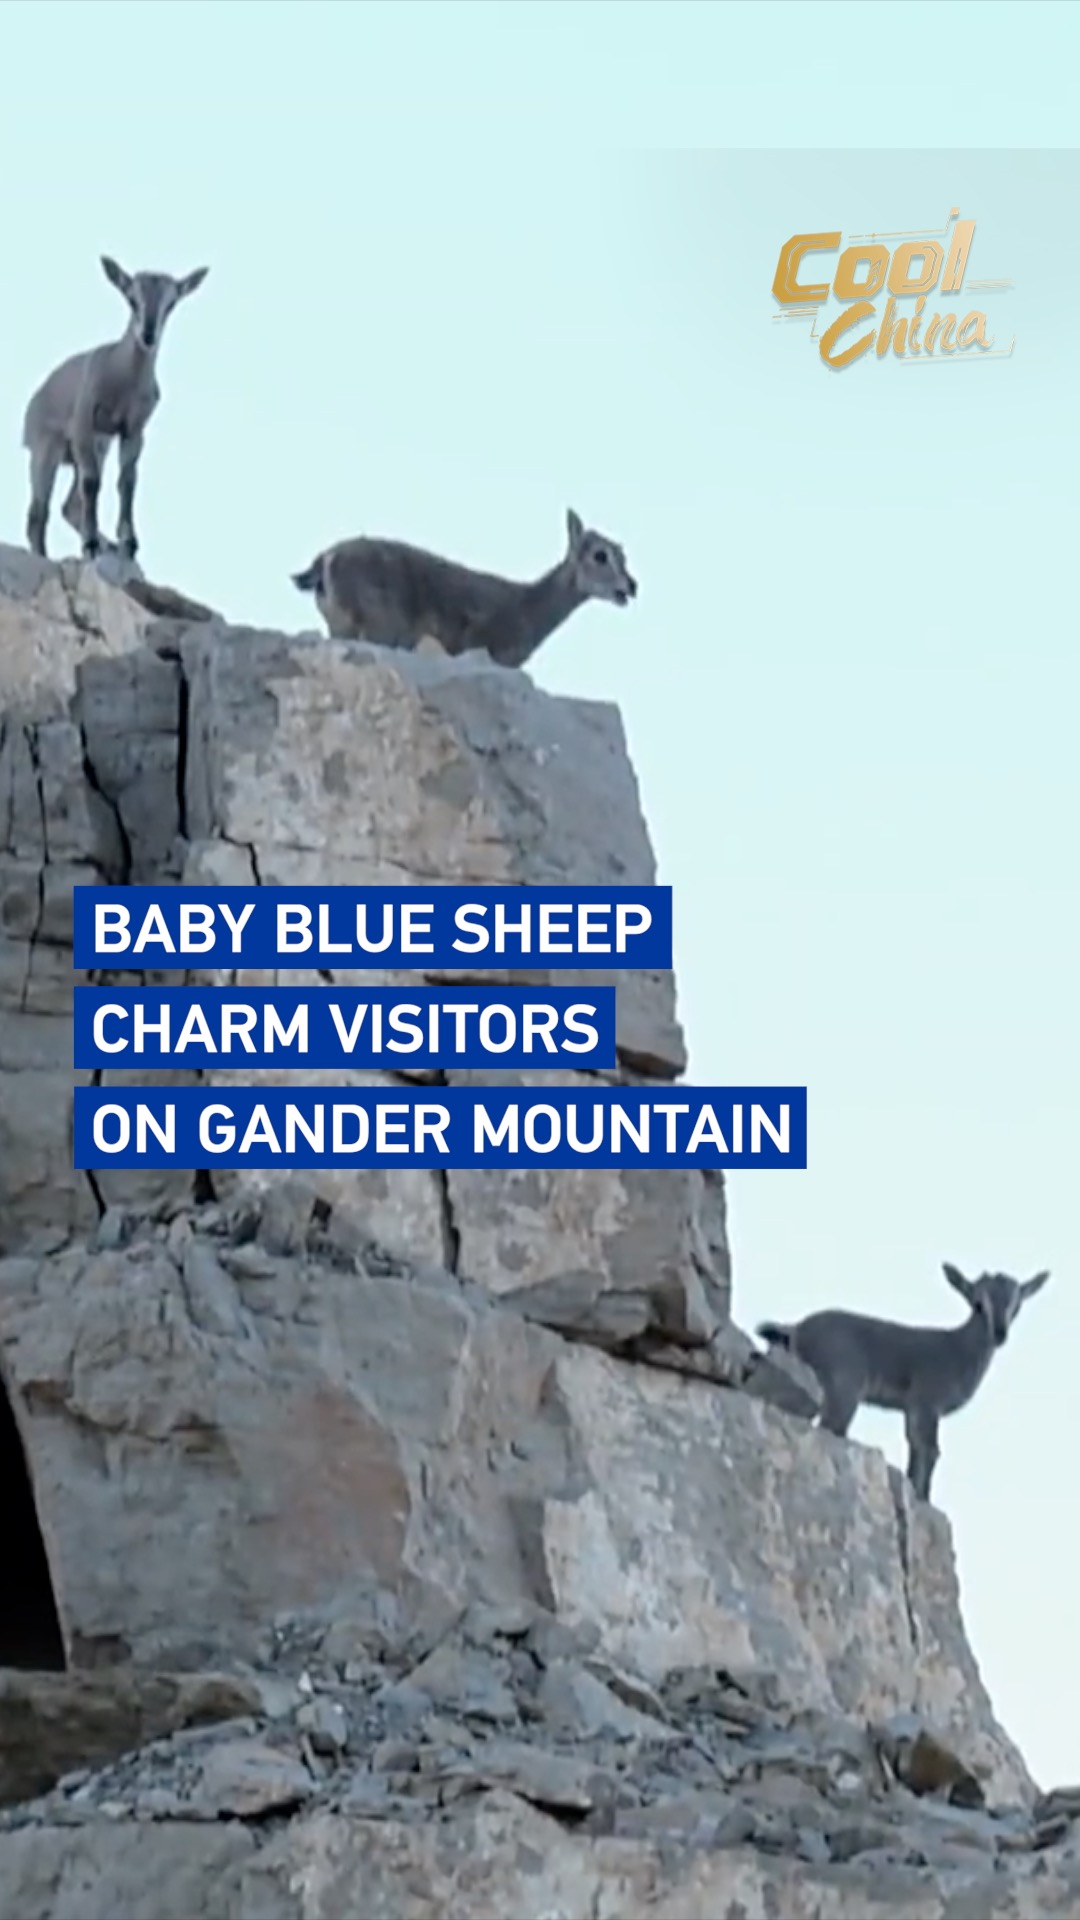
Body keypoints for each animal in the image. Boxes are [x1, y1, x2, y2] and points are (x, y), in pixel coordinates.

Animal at [22, 256, 209, 562]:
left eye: (171, 304)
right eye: (131, 299)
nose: (148, 335)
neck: (121, 379)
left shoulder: (132, 430)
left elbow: (127, 481)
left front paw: (128, 543)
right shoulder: (83, 423)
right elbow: (91, 483)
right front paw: (89, 544)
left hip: (98, 447)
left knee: (68, 505)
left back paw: (105, 543)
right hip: (45, 448)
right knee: (38, 512)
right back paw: (47, 554)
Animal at [291, 508, 637, 667]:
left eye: (624, 555)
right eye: (600, 555)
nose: (631, 586)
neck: (529, 608)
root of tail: (325, 560)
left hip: (342, 626)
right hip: (379, 628)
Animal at [755, 1264, 1050, 1502]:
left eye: (1016, 1305)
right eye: (978, 1303)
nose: (1000, 1333)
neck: (957, 1350)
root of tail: (796, 1329)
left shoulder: (911, 1409)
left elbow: (915, 1447)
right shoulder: (927, 1402)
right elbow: (929, 1449)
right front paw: (924, 1499)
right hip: (843, 1389)